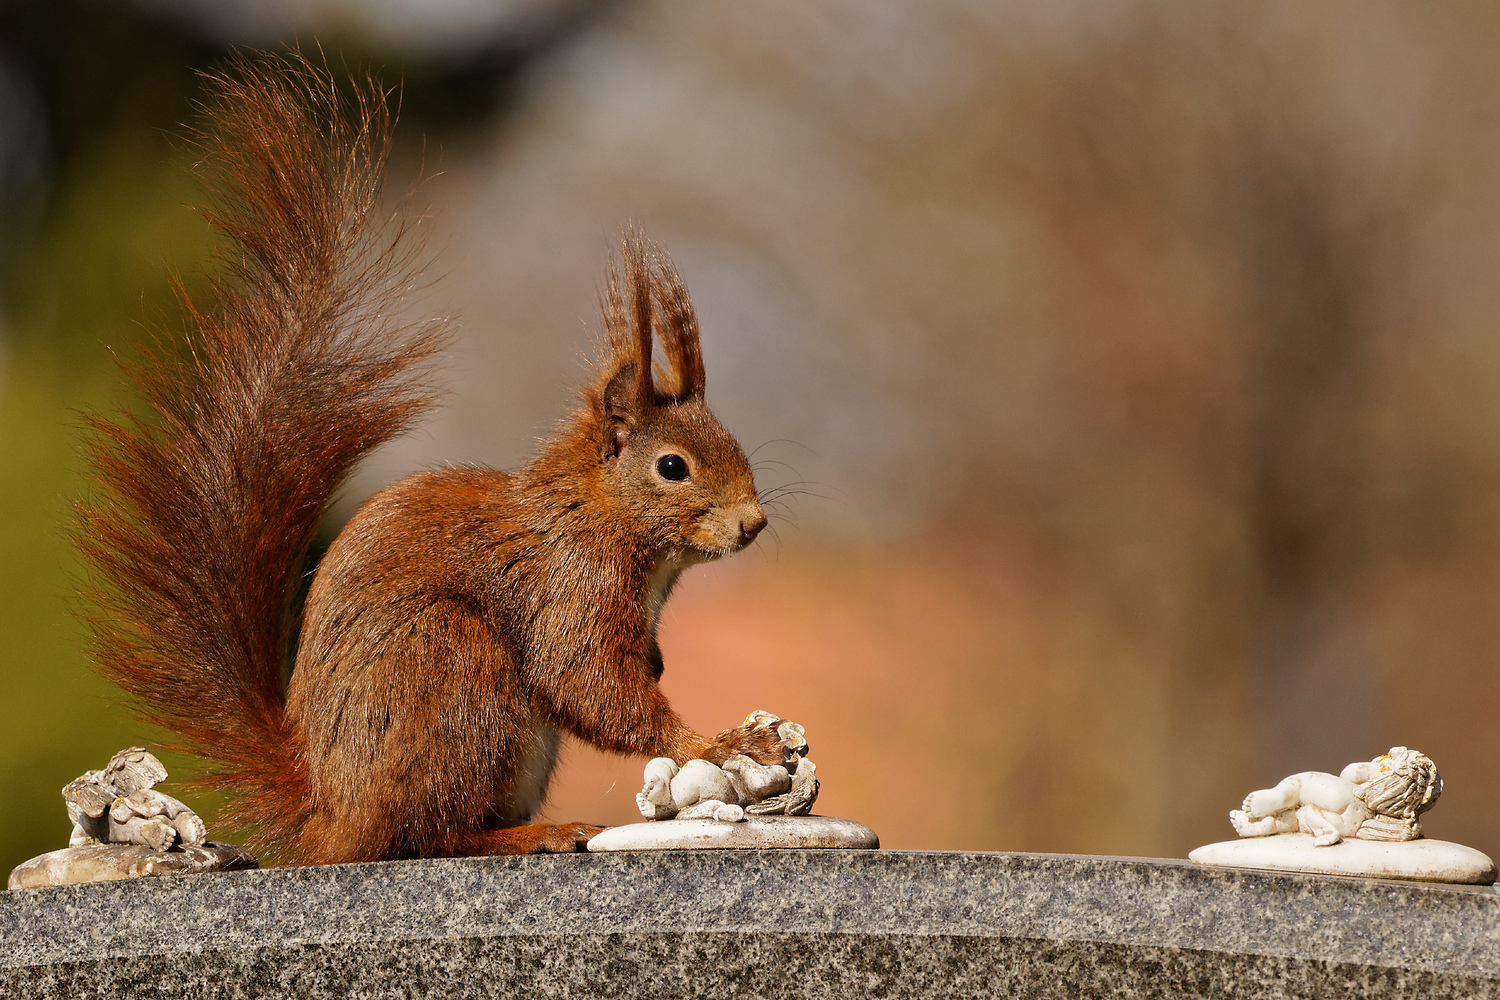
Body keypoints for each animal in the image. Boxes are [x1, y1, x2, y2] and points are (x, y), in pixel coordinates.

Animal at [79, 54, 786, 863]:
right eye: (673, 467)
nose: (753, 523)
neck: (605, 518)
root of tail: (333, 818)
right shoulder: (567, 585)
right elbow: (589, 684)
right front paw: (719, 743)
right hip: (453, 669)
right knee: (430, 833)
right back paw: (535, 833)